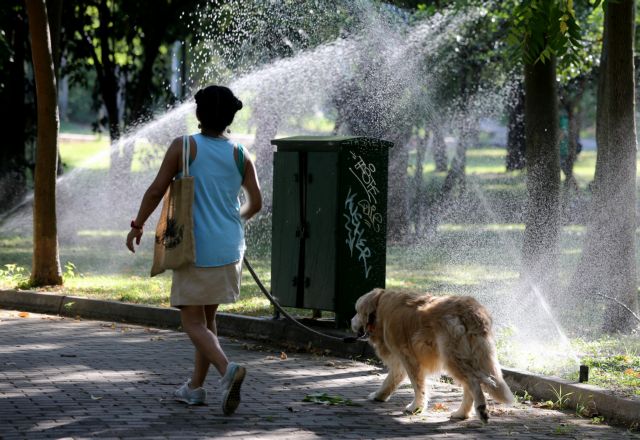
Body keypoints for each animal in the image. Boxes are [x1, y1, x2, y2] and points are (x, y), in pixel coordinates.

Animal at [352, 288, 512, 422]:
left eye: (357, 311)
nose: (351, 321)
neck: (379, 308)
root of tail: (471, 311)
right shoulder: (400, 361)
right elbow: (390, 380)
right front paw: (379, 395)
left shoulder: (408, 357)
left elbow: (418, 386)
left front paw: (416, 407)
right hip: (468, 357)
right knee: (470, 385)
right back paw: (462, 413)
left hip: (452, 357)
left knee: (473, 382)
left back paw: (481, 410)